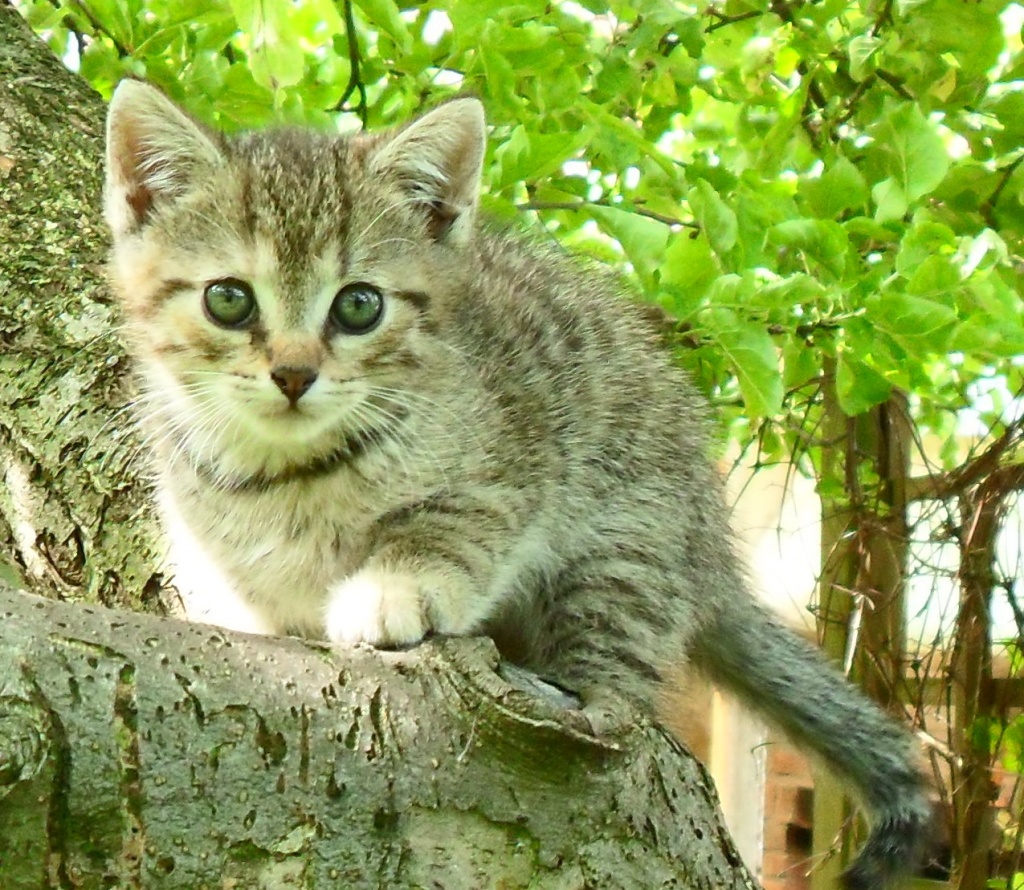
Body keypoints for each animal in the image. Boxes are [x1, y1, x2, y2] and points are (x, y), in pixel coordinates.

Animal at [103, 79, 929, 884]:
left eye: (360, 305)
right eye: (228, 298)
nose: (295, 374)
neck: (290, 472)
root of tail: (712, 555)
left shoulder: (515, 460)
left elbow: (454, 523)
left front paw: (395, 585)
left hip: (629, 537)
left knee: (620, 669)